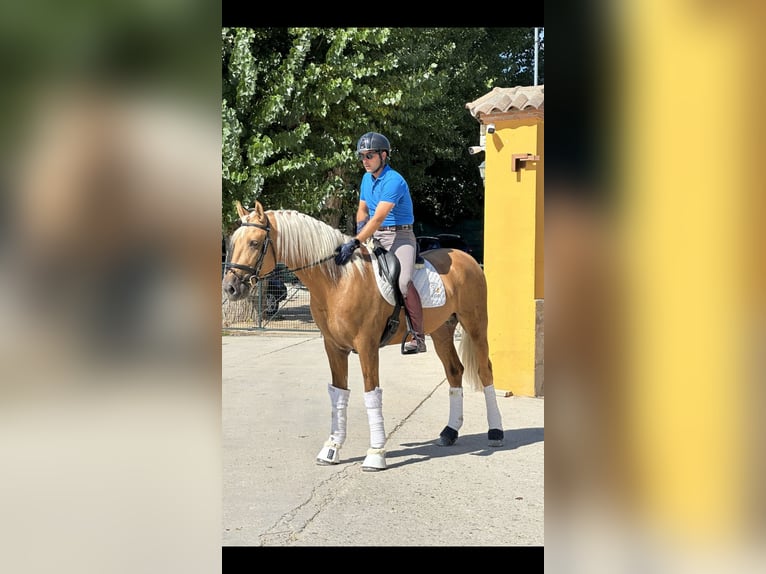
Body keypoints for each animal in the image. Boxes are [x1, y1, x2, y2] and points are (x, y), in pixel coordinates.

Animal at [224, 201, 504, 472]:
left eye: (255, 243)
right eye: (234, 242)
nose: (230, 288)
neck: (338, 281)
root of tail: (466, 258)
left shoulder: (367, 346)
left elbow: (372, 394)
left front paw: (375, 454)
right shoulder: (333, 347)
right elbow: (338, 394)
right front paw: (332, 449)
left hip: (476, 325)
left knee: (485, 370)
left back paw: (496, 432)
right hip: (441, 331)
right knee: (455, 371)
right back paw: (449, 432)